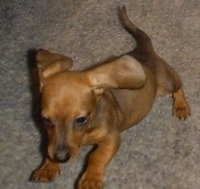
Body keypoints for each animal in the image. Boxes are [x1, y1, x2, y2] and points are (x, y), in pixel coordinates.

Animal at [30, 6, 189, 189]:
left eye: (81, 119)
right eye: (45, 119)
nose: (61, 158)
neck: (87, 133)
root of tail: (142, 50)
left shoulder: (111, 138)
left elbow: (96, 156)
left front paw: (91, 179)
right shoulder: (51, 139)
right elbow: (49, 147)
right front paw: (48, 167)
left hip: (168, 81)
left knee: (179, 87)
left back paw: (181, 106)